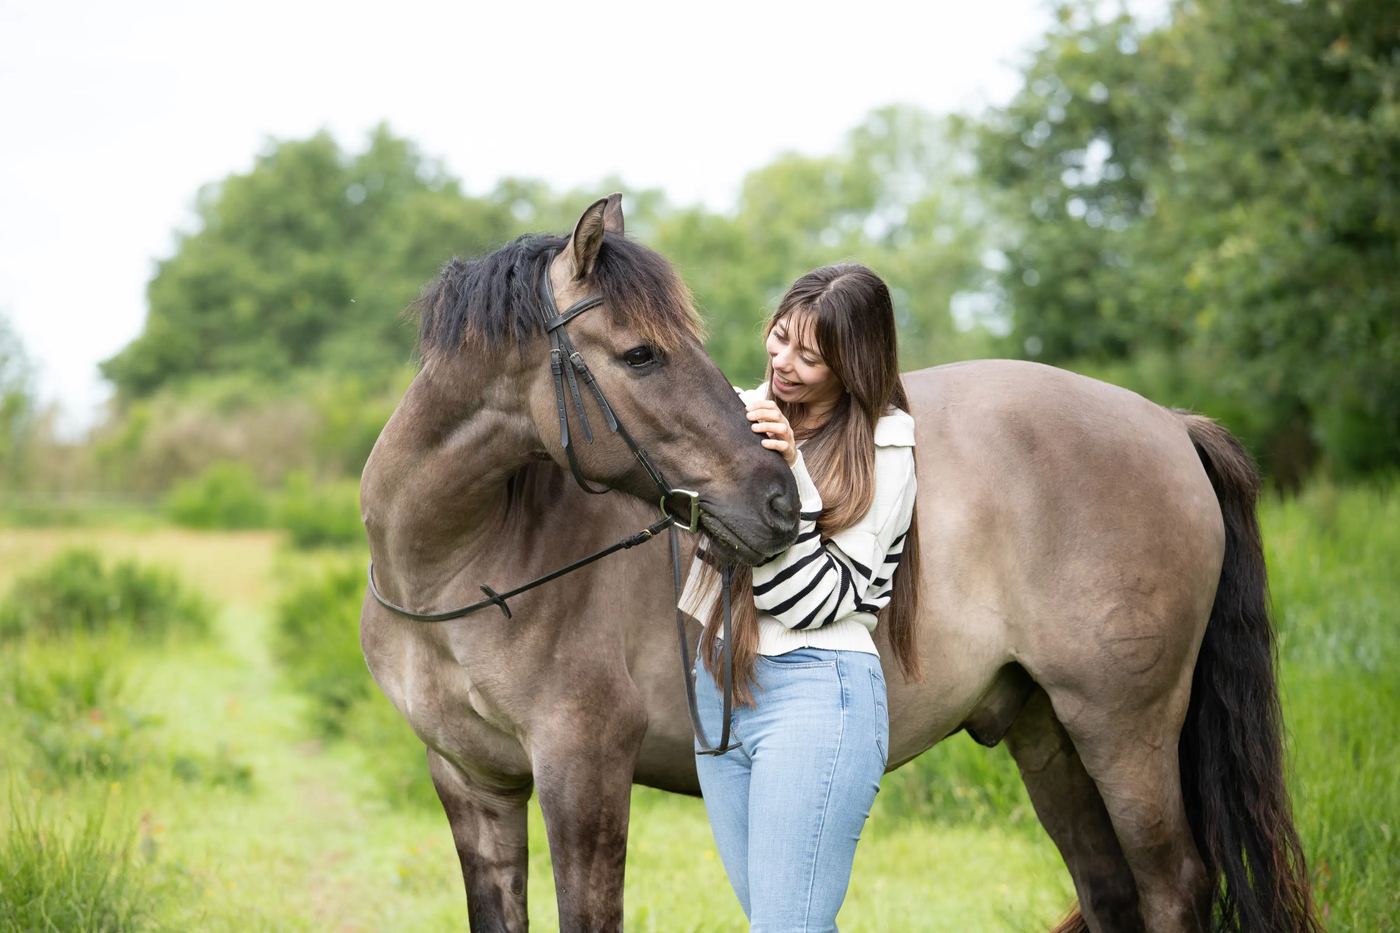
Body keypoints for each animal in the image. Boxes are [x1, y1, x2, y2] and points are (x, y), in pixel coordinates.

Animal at [359, 195, 1318, 932]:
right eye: (641, 353)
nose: (778, 503)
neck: (465, 566)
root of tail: (1169, 424)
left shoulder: (581, 771)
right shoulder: (474, 784)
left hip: (1125, 728)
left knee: (1173, 884)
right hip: (1049, 733)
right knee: (1112, 890)